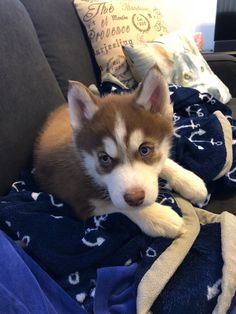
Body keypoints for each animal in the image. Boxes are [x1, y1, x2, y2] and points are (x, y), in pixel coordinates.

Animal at [33, 67, 206, 238]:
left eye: (145, 150)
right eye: (105, 158)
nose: (135, 198)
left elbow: (165, 162)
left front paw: (189, 181)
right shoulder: (82, 202)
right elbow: (118, 204)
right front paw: (160, 217)